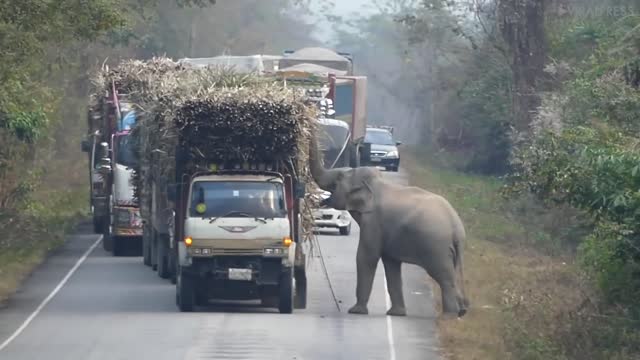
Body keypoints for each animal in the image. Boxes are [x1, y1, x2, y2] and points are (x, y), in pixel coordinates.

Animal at [308, 136, 468, 318]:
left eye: (339, 178)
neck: (376, 182)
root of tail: (457, 227)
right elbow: (391, 264)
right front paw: (396, 313)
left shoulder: (373, 222)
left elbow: (366, 257)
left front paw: (356, 311)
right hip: (449, 250)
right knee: (451, 274)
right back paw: (462, 311)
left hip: (436, 246)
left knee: (444, 277)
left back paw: (449, 316)